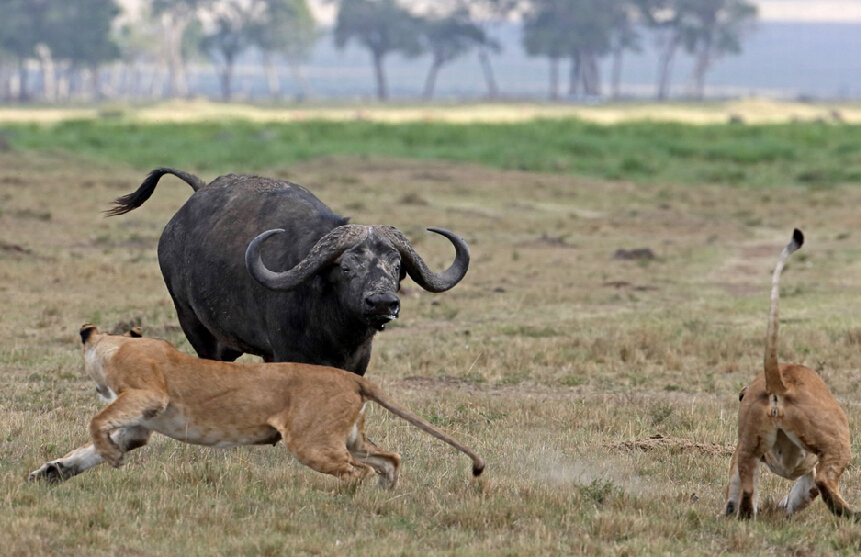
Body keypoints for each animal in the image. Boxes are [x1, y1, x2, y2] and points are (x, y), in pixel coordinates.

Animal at [110, 168, 470, 374]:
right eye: (346, 267)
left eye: (397, 267)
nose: (382, 303)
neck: (334, 329)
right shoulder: (289, 353)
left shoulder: (358, 362)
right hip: (192, 322)